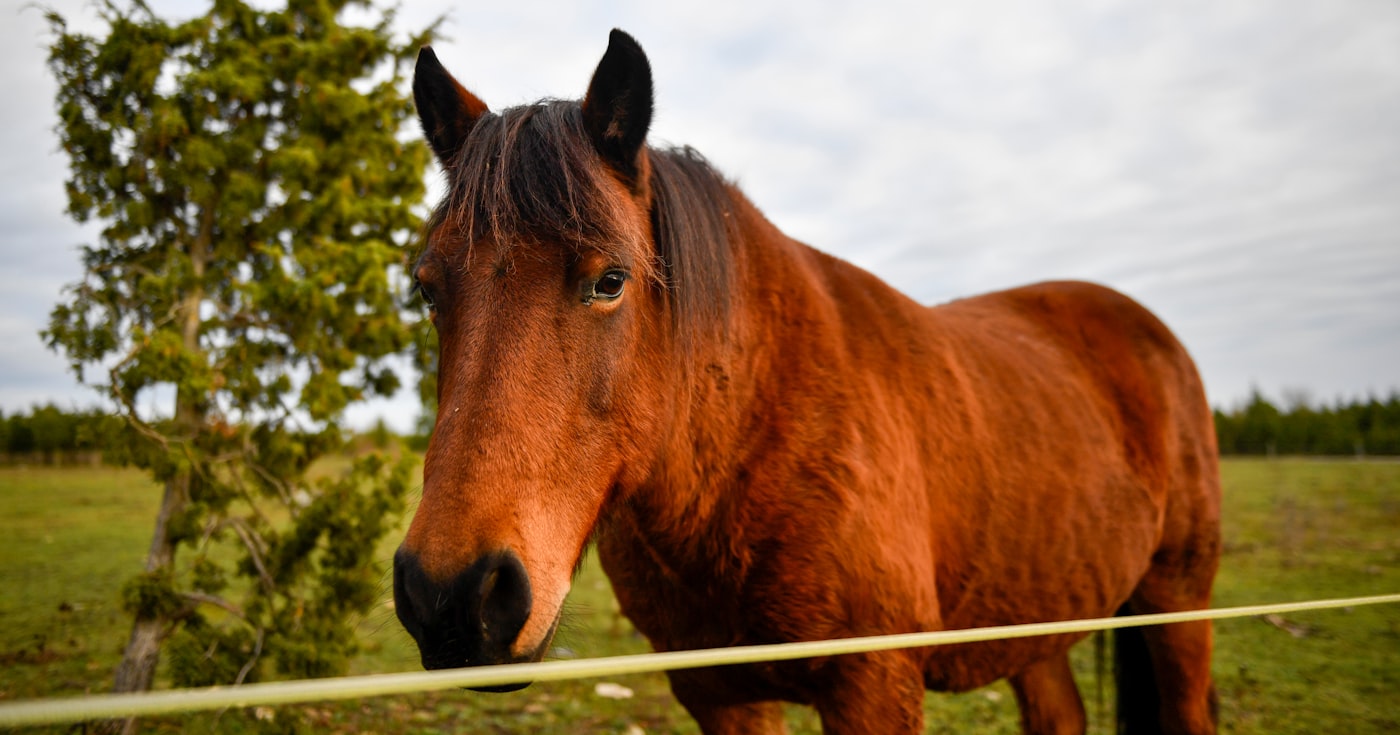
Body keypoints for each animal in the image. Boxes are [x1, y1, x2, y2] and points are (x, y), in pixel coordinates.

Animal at [392, 29, 1221, 735]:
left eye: (610, 280)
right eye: (428, 289)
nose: (453, 596)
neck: (758, 441)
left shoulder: (874, 685)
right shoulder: (720, 693)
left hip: (1178, 602)